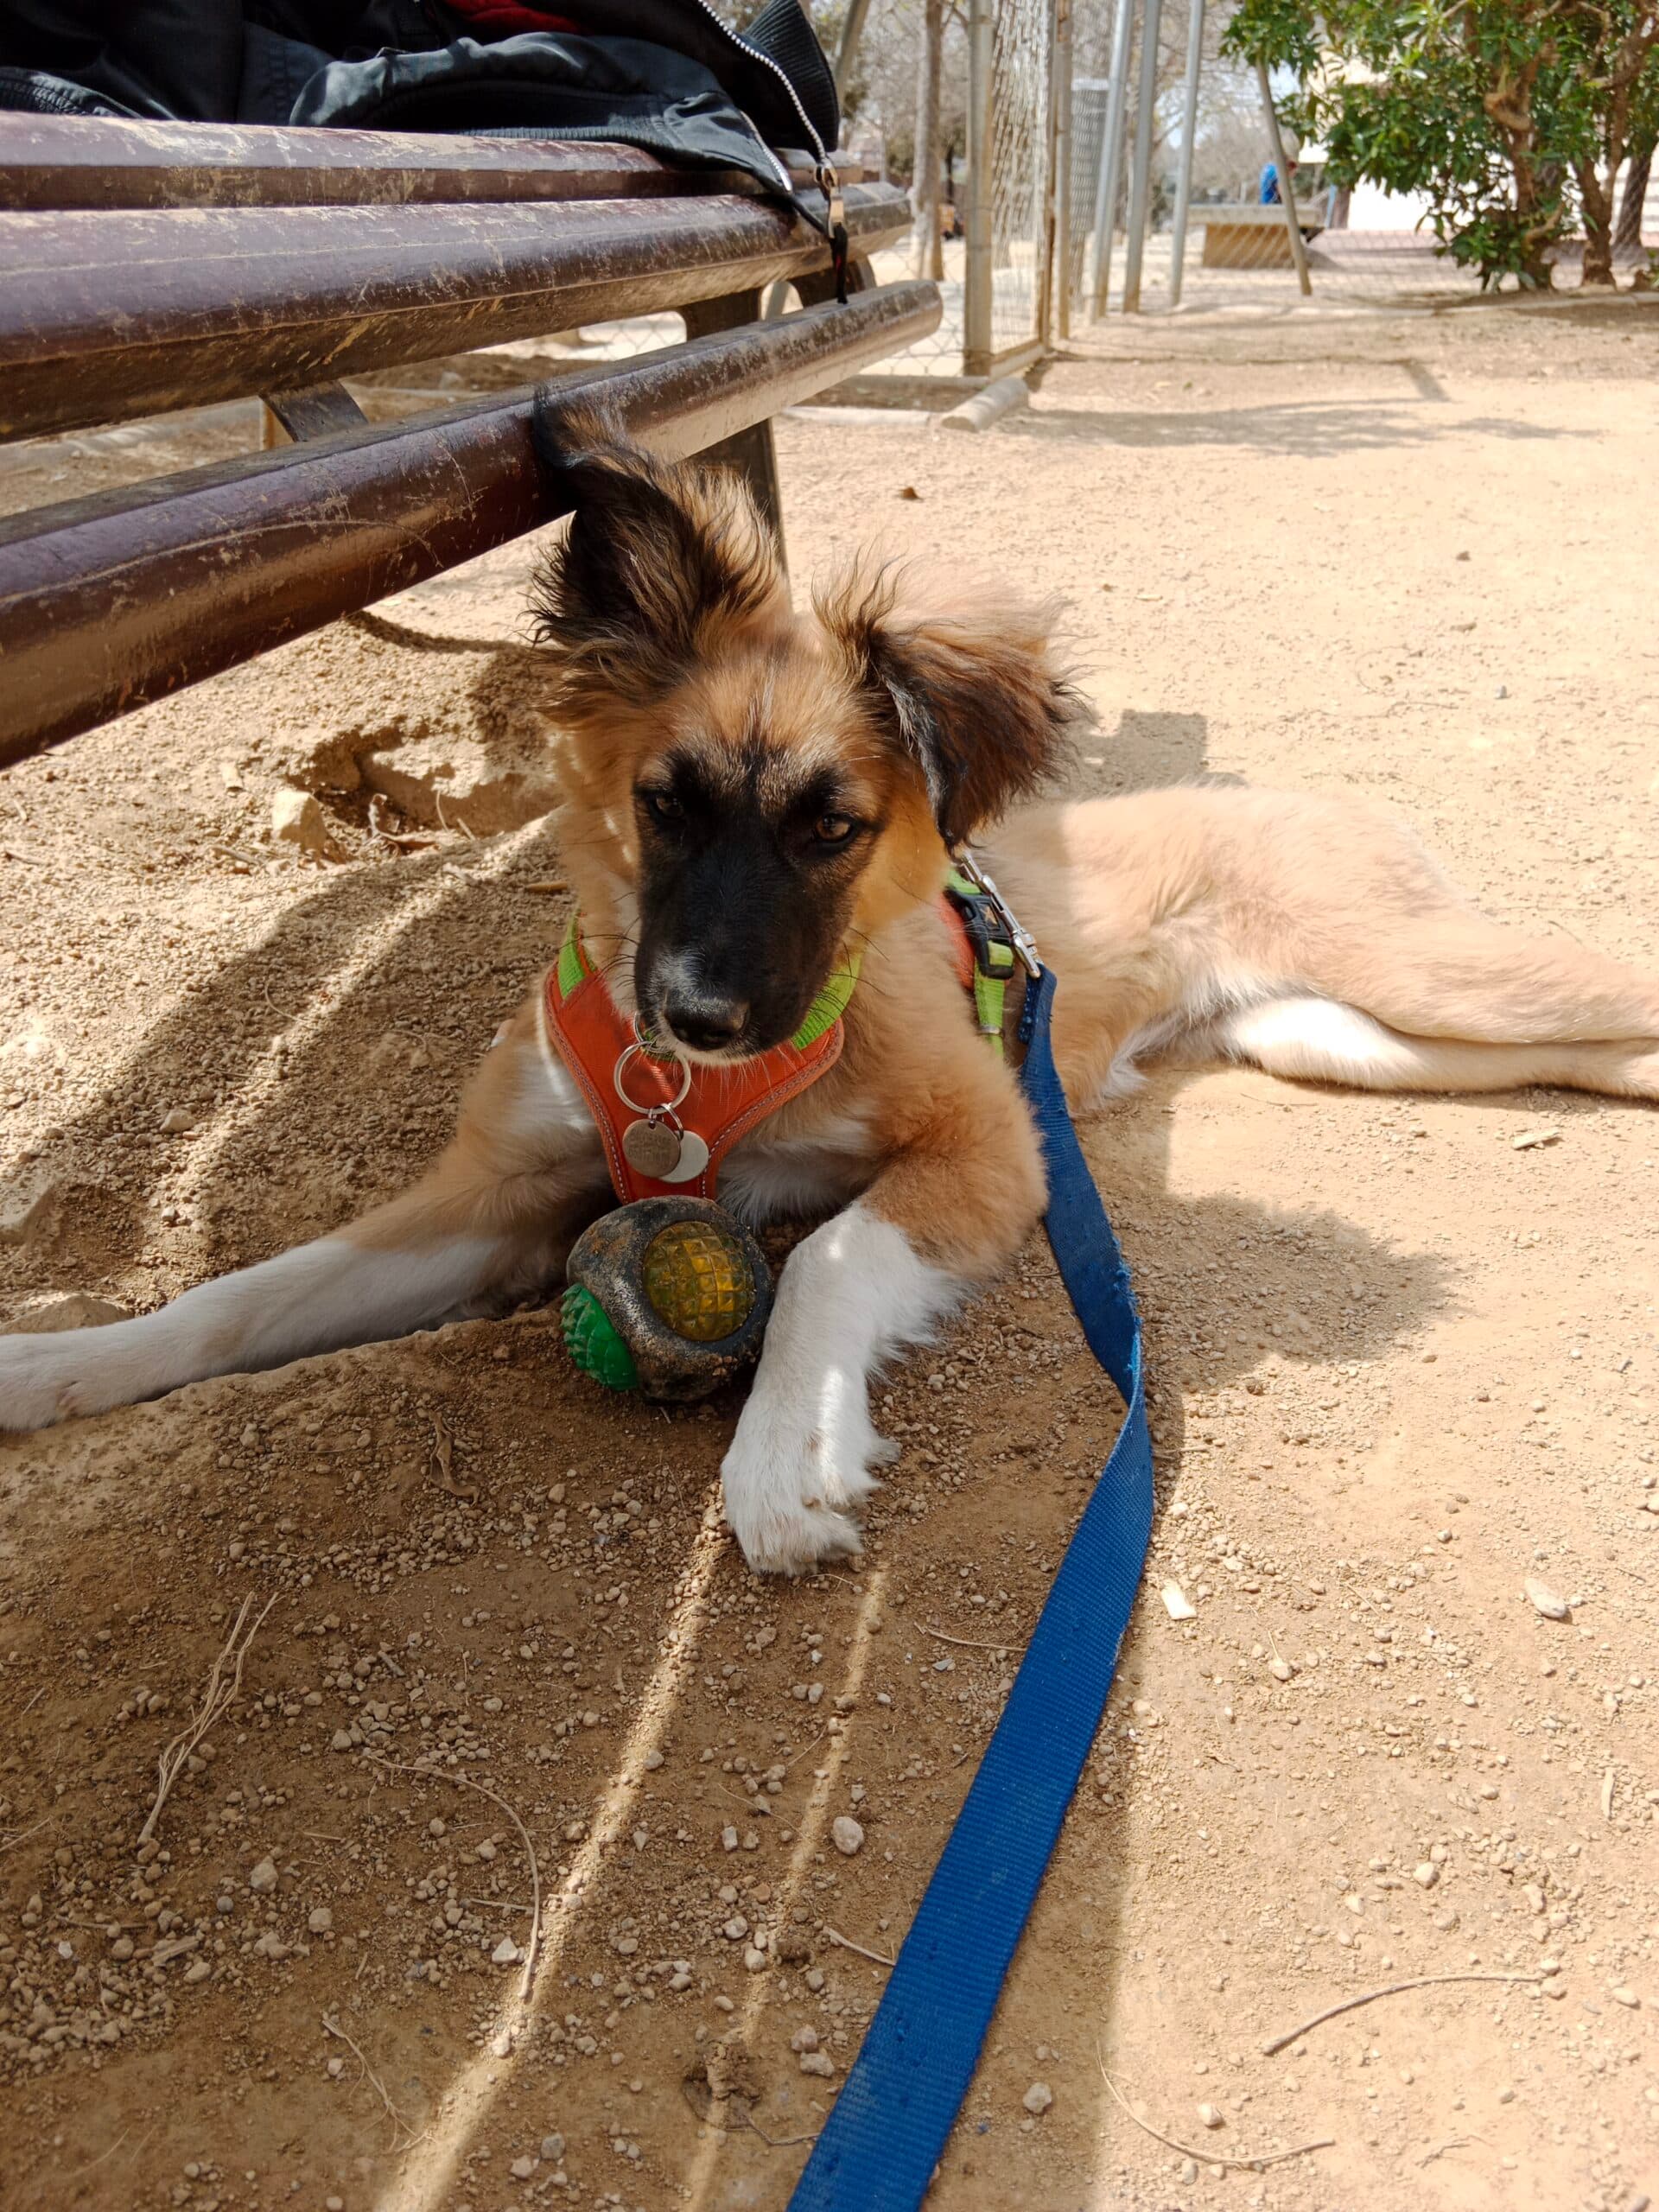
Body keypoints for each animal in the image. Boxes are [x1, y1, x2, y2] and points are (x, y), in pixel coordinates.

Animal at [3, 407, 1659, 1566]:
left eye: (832, 830)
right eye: (665, 804)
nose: (697, 1016)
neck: (696, 1091)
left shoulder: (991, 1144)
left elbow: (823, 1258)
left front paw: (784, 1446)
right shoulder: (486, 1197)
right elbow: (239, 1297)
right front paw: (63, 1364)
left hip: (1433, 975)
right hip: (1353, 1039)